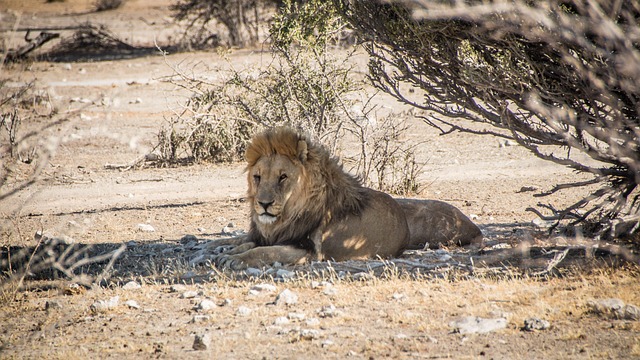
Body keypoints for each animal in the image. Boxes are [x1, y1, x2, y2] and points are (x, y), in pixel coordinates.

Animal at [212, 127, 482, 270]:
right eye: (258, 177)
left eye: (283, 177)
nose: (264, 204)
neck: (285, 217)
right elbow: (250, 243)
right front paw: (227, 250)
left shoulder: (309, 251)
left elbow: (264, 252)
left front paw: (232, 259)